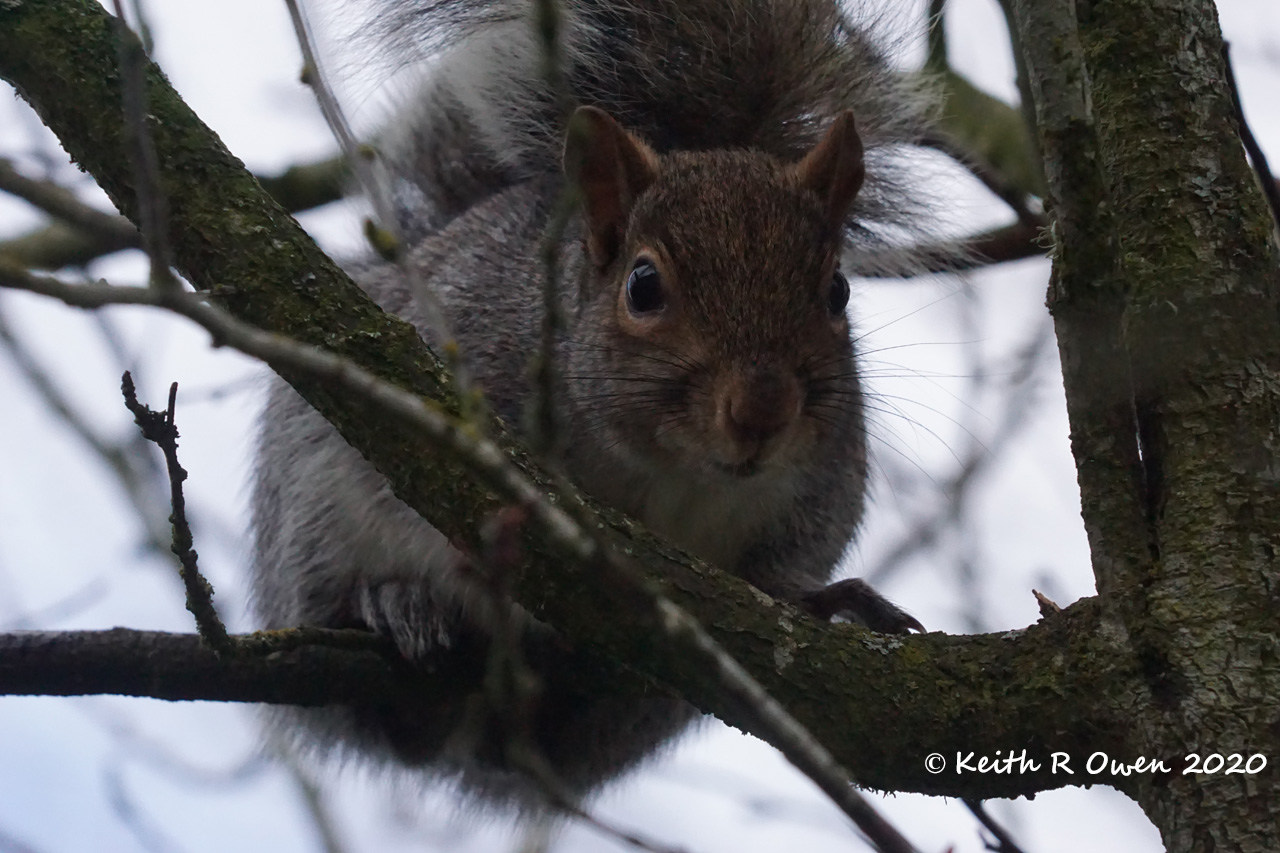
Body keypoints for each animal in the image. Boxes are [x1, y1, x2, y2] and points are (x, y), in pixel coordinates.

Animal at [252, 0, 931, 811]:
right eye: (643, 286)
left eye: (838, 292)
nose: (761, 412)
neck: (675, 473)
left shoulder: (820, 491)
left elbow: (779, 581)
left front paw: (825, 600)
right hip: (310, 514)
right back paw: (396, 607)